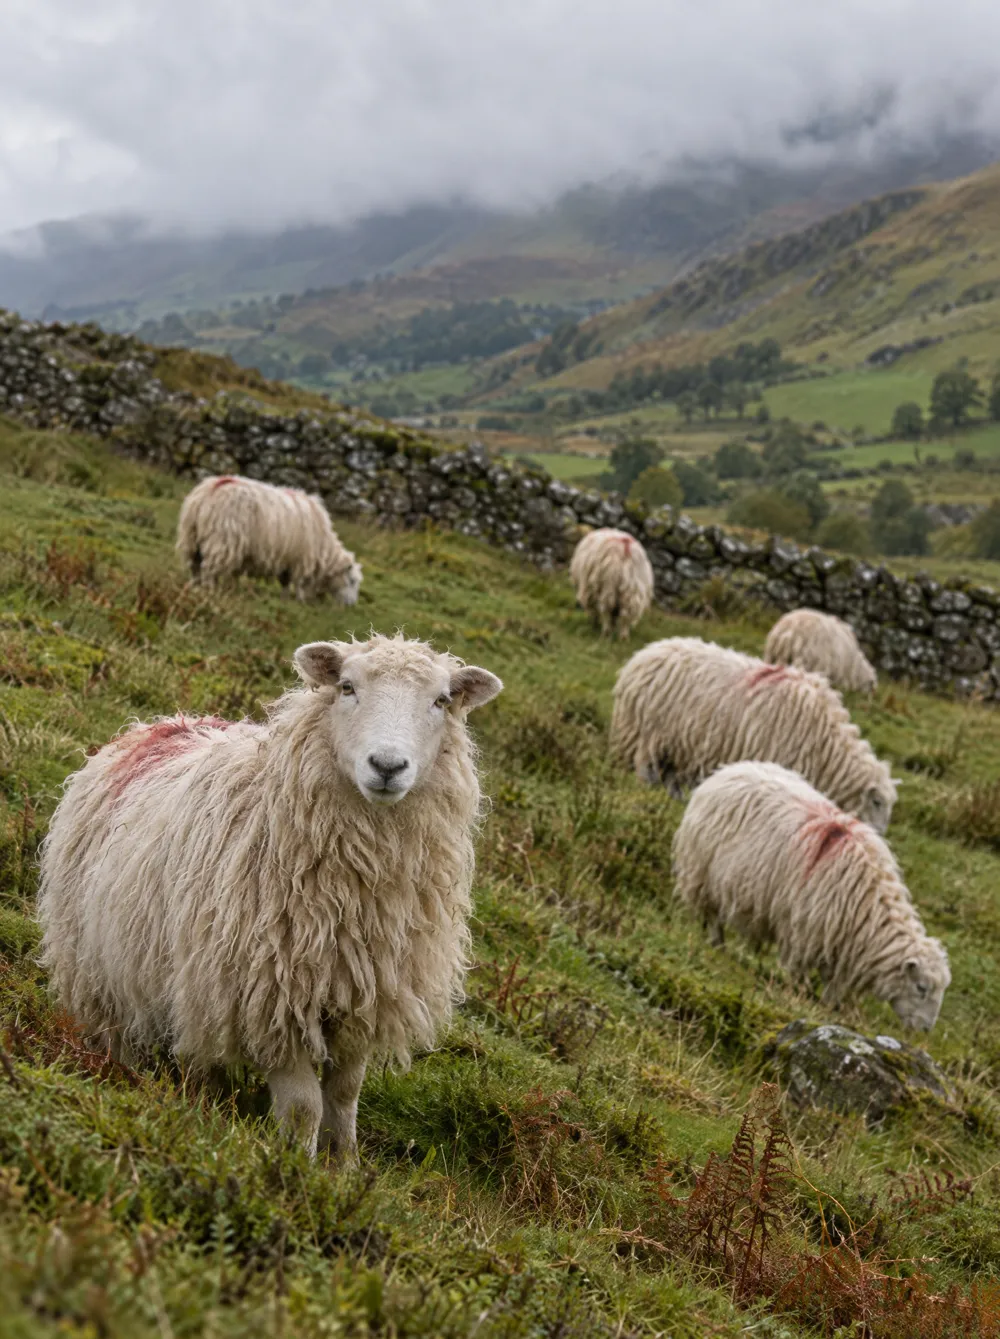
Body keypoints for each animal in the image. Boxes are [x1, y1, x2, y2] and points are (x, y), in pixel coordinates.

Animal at [37, 634, 502, 1158]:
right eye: (347, 686)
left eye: (441, 701)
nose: (387, 766)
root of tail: (159, 725)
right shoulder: (268, 999)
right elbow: (303, 1107)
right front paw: (294, 1167)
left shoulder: (364, 997)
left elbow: (345, 1093)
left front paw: (343, 1165)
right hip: (97, 973)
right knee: (114, 1033)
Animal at [176, 474, 362, 603]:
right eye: (352, 581)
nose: (351, 605)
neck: (325, 549)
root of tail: (212, 488)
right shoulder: (301, 560)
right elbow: (298, 583)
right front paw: (298, 601)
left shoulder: (286, 559)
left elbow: (284, 581)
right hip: (223, 541)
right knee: (208, 570)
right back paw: (209, 590)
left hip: (192, 538)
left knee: (194, 567)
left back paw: (195, 588)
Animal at [610, 636, 896, 831]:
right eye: (877, 802)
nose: (877, 834)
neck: (826, 748)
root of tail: (642, 655)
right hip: (647, 733)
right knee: (644, 766)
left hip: (676, 745)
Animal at [672, 761, 949, 1029]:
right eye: (921, 988)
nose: (925, 1030)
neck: (870, 910)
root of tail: (728, 770)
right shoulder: (806, 926)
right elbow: (801, 964)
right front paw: (801, 988)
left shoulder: (841, 939)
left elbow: (834, 978)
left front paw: (831, 1003)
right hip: (704, 873)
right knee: (713, 915)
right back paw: (717, 943)